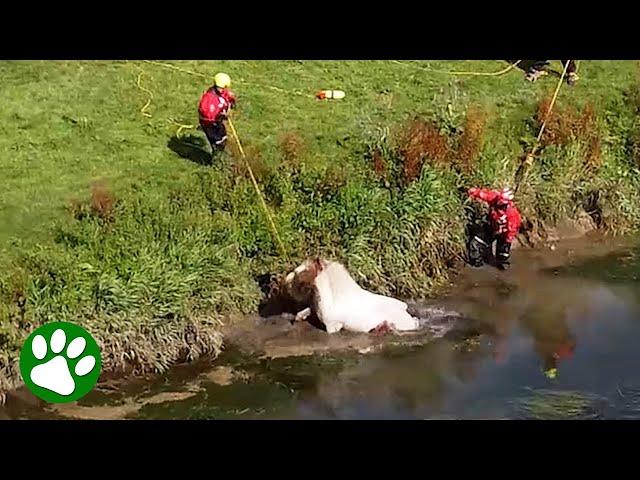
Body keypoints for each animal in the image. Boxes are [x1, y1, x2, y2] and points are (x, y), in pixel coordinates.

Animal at [284, 258, 422, 334]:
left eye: (304, 271)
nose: (286, 282)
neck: (335, 297)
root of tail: (409, 319)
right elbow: (307, 311)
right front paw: (298, 318)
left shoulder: (332, 327)